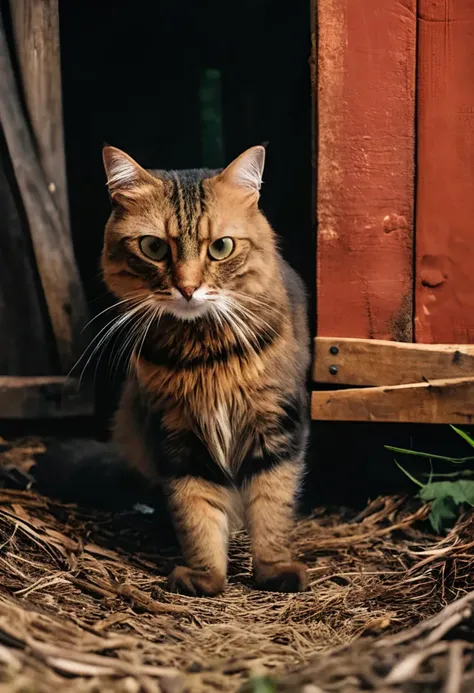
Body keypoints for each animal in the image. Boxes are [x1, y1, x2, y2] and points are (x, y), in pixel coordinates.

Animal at [96, 146, 312, 596]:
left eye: (221, 247)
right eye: (153, 248)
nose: (188, 288)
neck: (206, 356)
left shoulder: (276, 424)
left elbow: (272, 506)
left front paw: (274, 570)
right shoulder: (177, 435)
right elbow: (196, 511)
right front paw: (205, 577)